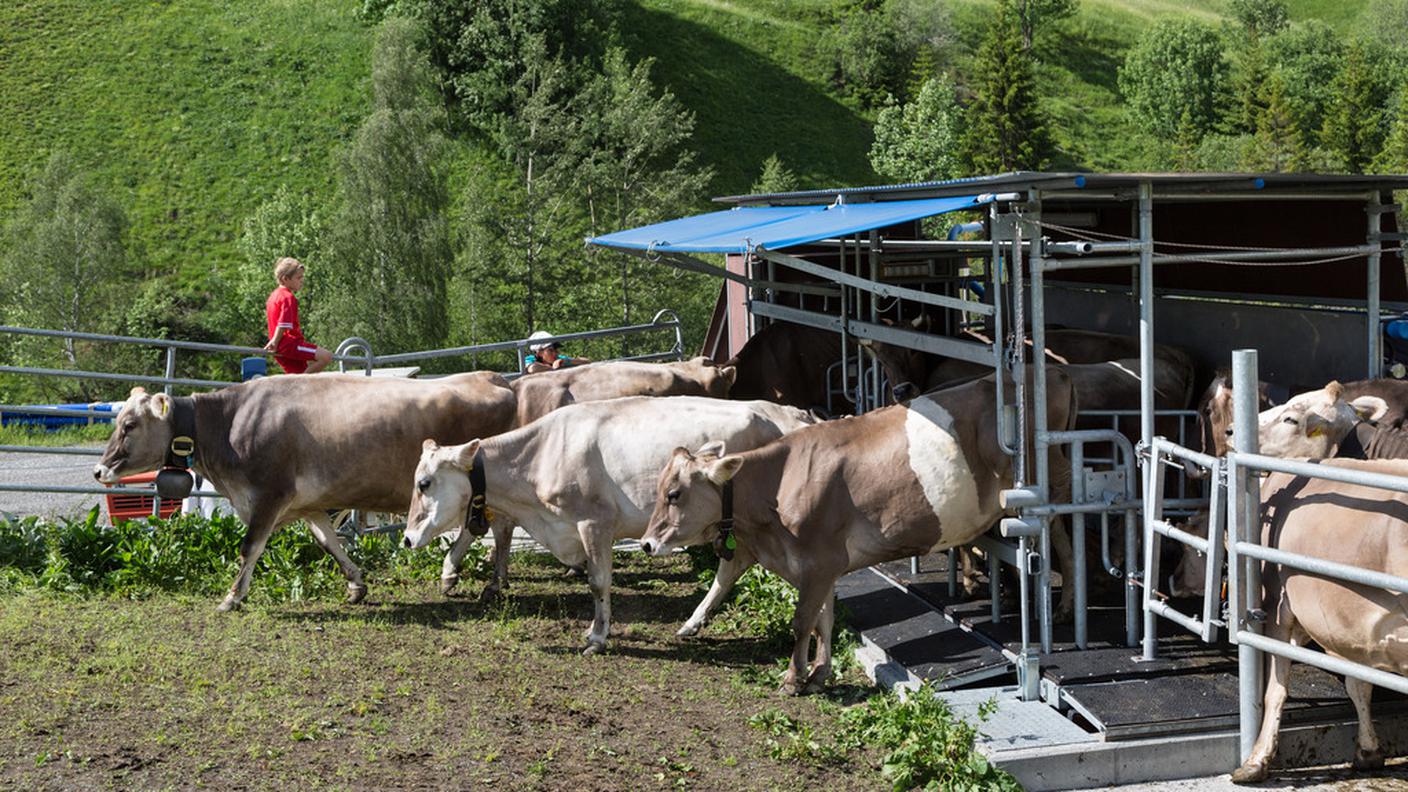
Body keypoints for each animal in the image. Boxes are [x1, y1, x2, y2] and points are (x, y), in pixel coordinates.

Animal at [92, 372, 518, 605]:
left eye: (129, 424)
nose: (98, 471)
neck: (230, 423)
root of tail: (492, 378)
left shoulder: (268, 495)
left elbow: (250, 547)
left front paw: (232, 596)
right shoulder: (306, 504)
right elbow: (328, 541)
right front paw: (356, 584)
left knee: (497, 527)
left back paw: (479, 579)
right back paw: (463, 575)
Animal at [399, 397, 816, 651]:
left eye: (424, 483)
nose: (406, 538)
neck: (543, 452)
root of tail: (792, 414)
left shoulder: (594, 522)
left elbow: (598, 581)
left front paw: (597, 636)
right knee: (730, 570)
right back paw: (691, 624)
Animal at [639, 369, 1075, 690]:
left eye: (674, 494)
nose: (645, 544)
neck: (778, 483)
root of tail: (1053, 374)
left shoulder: (818, 561)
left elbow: (803, 620)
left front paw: (793, 679)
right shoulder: (821, 566)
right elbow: (823, 620)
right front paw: (819, 674)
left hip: (1049, 488)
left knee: (1067, 537)